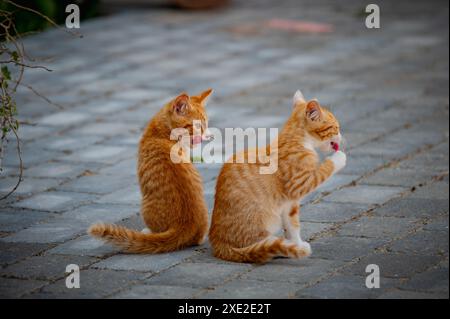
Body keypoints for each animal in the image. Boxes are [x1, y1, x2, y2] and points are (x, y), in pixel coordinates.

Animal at [89, 90, 214, 255]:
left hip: (144, 205)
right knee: (198, 240)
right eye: (196, 126)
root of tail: (185, 224)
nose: (207, 136)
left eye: (205, 124)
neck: (160, 133)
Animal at [209, 90, 346, 264]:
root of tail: (219, 244)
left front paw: (295, 242)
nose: (341, 136)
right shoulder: (299, 184)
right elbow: (324, 170)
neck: (296, 140)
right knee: (261, 246)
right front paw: (340, 158)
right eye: (335, 128)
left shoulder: (289, 204)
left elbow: (291, 225)